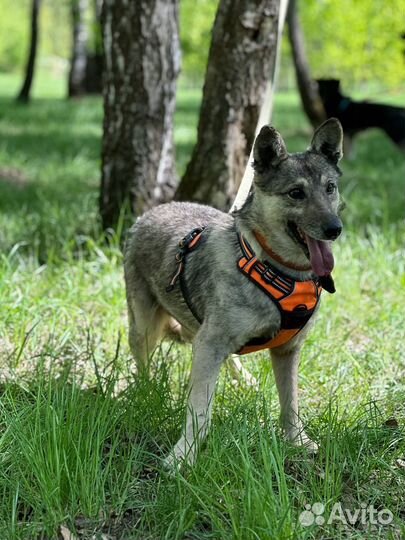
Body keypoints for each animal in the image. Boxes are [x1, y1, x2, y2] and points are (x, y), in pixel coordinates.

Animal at [124, 119, 344, 468]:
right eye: (296, 193)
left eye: (330, 188)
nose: (335, 229)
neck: (274, 269)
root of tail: (148, 214)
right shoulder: (210, 343)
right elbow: (199, 411)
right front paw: (183, 456)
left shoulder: (287, 351)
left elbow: (290, 404)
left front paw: (297, 441)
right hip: (144, 328)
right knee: (143, 366)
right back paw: (145, 393)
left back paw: (244, 380)